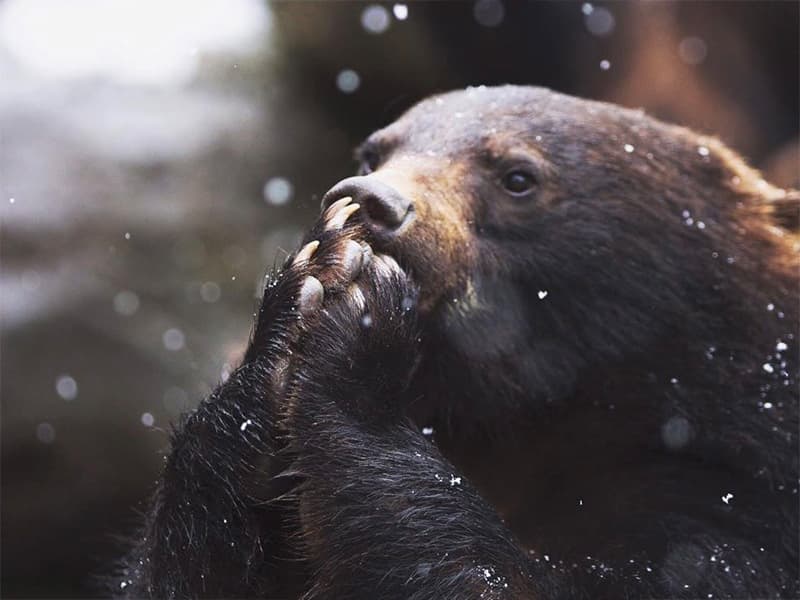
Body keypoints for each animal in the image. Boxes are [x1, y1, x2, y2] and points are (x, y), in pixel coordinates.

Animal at [115, 85, 796, 600]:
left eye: (518, 176)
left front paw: (361, 342)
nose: (368, 200)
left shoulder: (723, 503)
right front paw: (294, 311)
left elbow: (505, 579)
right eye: (374, 149)